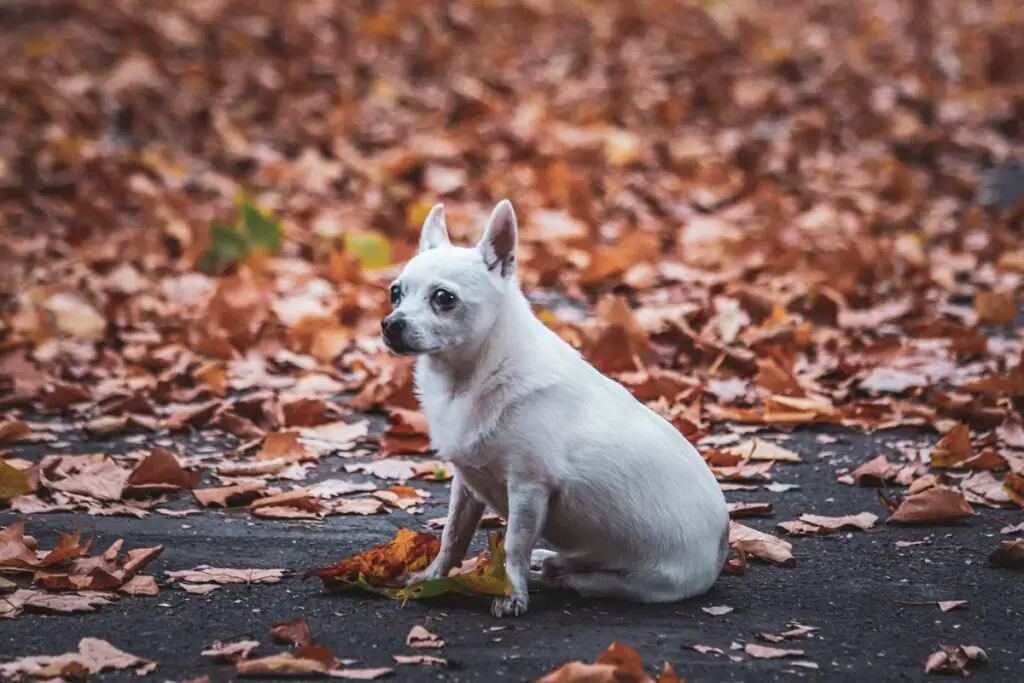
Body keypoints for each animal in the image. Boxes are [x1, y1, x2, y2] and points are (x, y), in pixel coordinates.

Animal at [382, 198, 729, 618]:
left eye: (444, 298)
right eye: (395, 294)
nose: (391, 324)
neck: (468, 378)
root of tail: (722, 548)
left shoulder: (529, 488)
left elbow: (514, 546)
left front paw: (511, 594)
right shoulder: (467, 486)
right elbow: (453, 535)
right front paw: (432, 578)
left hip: (629, 583)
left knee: (572, 578)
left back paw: (550, 572)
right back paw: (552, 559)